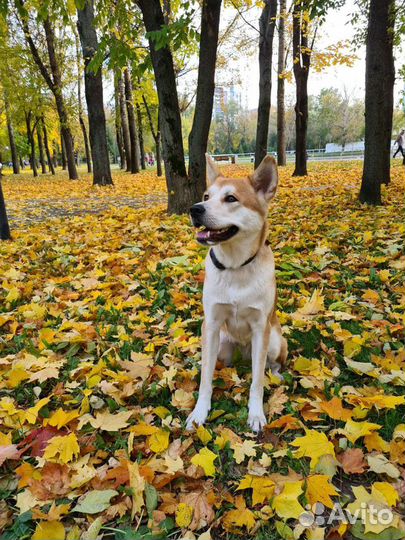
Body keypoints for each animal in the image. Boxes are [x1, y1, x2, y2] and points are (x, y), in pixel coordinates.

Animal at [186, 154, 288, 432]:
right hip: (222, 344)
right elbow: (205, 378)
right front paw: (200, 411)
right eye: (206, 196)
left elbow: (257, 382)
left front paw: (256, 413)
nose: (195, 209)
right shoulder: (211, 325)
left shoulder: (260, 328)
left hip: (274, 340)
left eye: (231, 198)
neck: (235, 267)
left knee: (271, 365)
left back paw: (276, 374)